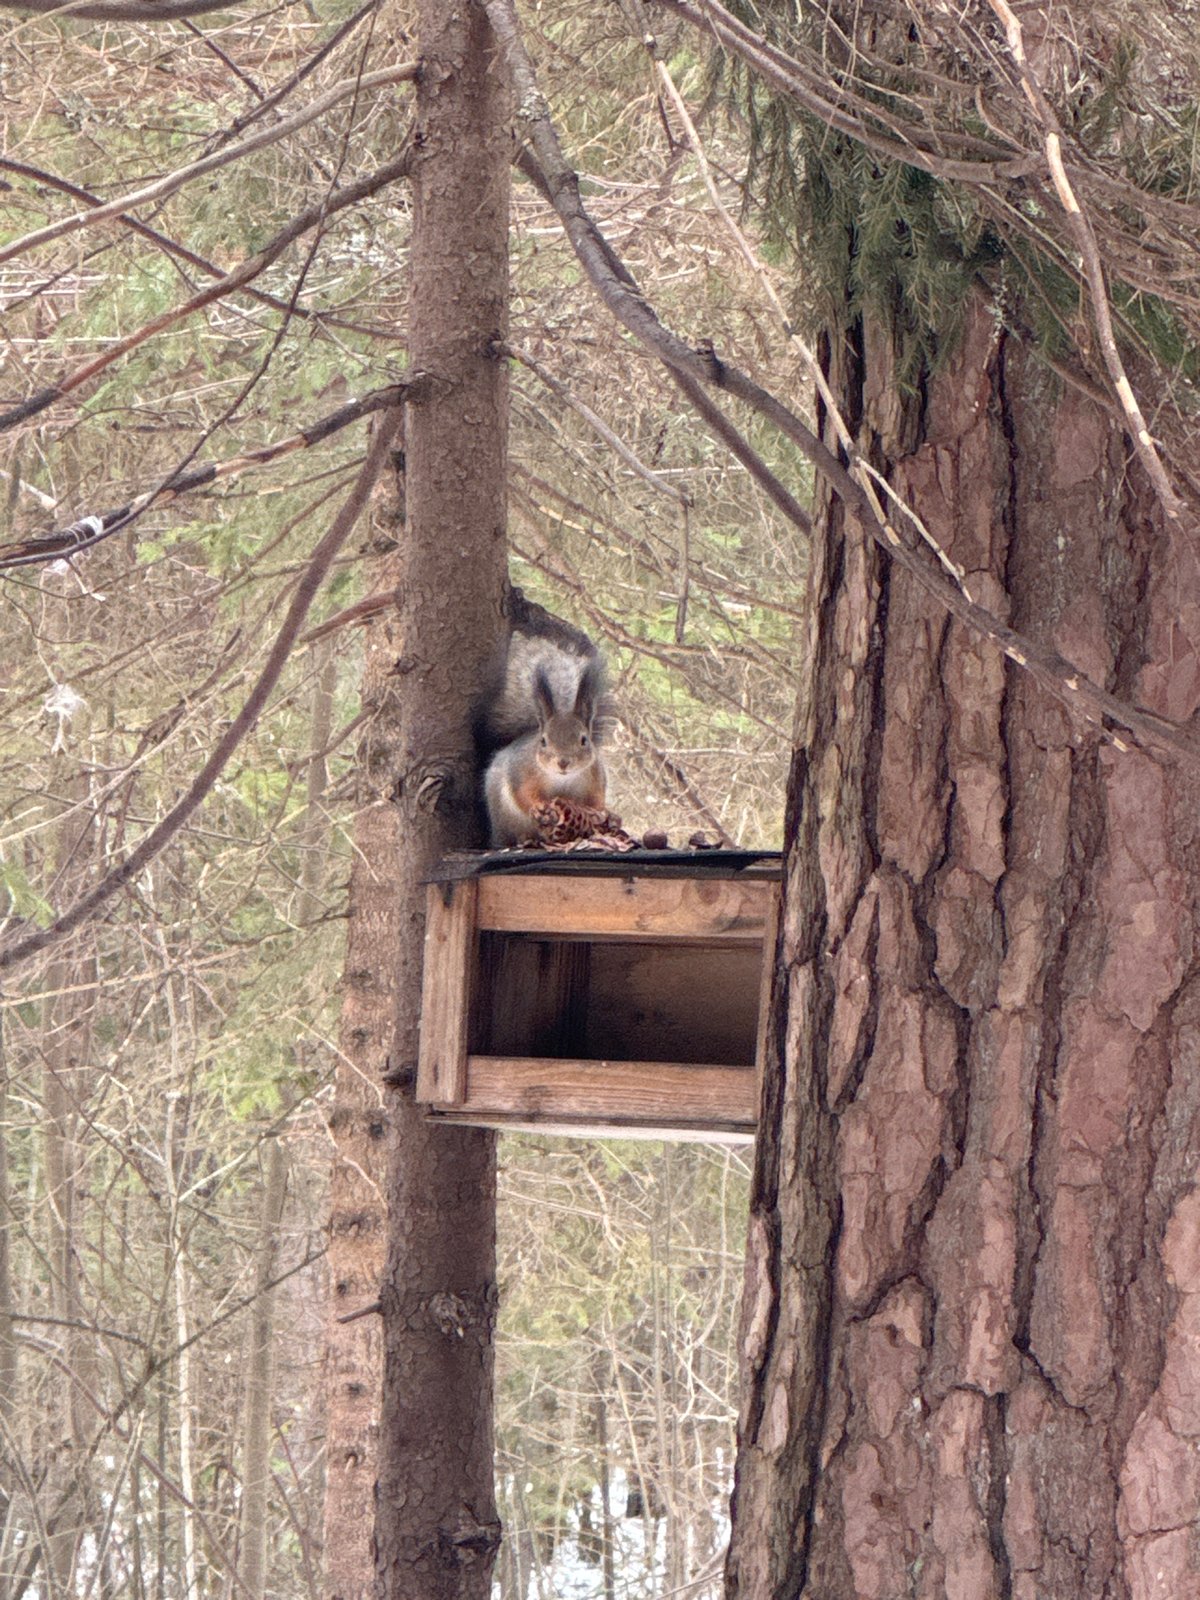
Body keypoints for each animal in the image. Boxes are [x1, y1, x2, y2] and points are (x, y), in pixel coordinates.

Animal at [482, 591, 608, 848]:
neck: (562, 781)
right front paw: (538, 805)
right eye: (543, 741)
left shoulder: (595, 778)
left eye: (584, 740)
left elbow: (598, 798)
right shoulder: (522, 771)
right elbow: (522, 794)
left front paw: (601, 812)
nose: (563, 762)